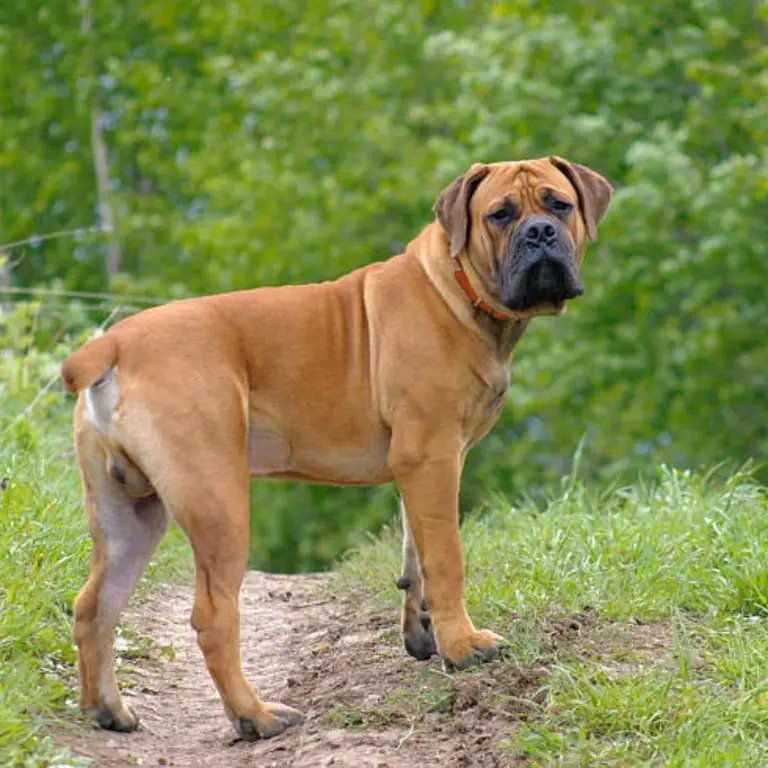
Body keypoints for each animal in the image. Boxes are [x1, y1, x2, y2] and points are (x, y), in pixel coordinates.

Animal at [61, 154, 612, 736]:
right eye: (500, 215)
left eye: (559, 204)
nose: (540, 232)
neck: (457, 288)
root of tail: (114, 343)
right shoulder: (433, 455)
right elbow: (446, 558)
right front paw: (462, 645)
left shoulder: (422, 463)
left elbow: (415, 552)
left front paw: (424, 632)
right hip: (218, 502)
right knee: (213, 616)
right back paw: (255, 715)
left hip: (130, 513)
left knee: (95, 605)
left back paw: (108, 709)